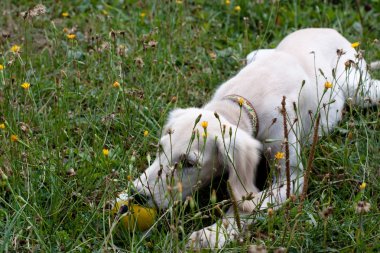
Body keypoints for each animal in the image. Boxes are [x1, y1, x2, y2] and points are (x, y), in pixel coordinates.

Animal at [117, 28, 378, 248]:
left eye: (188, 163)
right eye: (160, 149)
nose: (138, 195)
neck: (243, 100)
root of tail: (333, 32)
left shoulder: (292, 179)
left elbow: (251, 205)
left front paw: (212, 234)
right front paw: (121, 196)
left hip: (360, 91)